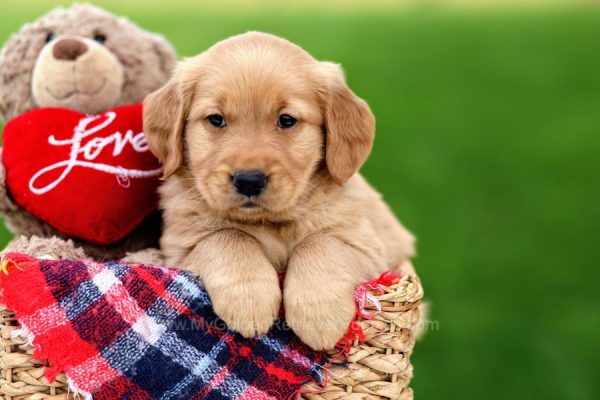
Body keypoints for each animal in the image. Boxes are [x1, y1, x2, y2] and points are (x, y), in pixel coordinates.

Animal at [143, 32, 414, 350]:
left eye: (286, 120)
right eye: (216, 119)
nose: (249, 180)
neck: (271, 223)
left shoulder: (369, 248)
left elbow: (319, 242)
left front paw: (320, 315)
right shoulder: (180, 248)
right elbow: (228, 236)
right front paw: (249, 300)